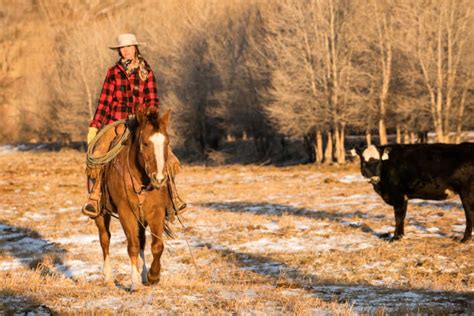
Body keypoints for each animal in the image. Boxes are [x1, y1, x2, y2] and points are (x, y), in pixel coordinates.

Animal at [94, 107, 172, 290]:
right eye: (145, 143)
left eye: (167, 143)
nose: (159, 179)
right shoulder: (126, 212)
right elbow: (133, 246)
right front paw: (135, 283)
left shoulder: (156, 212)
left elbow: (156, 245)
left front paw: (152, 276)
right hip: (101, 214)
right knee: (105, 240)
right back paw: (108, 278)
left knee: (142, 240)